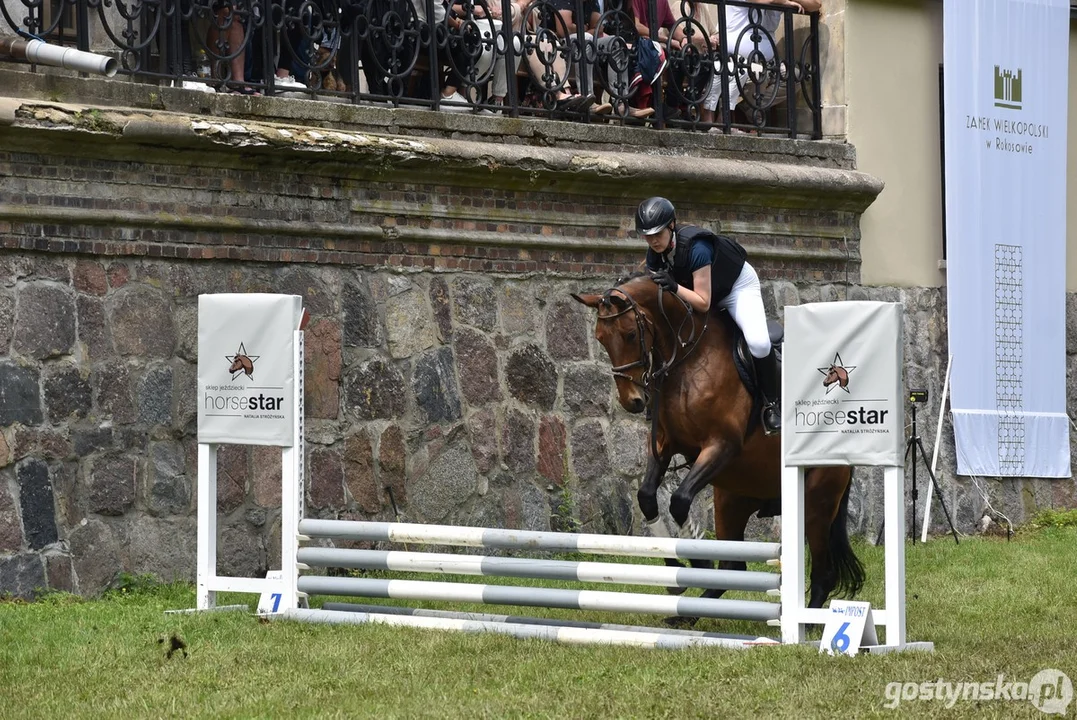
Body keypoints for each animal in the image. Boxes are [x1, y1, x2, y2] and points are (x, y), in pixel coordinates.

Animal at [572, 275, 865, 611]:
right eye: (600, 339)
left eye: (631, 334)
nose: (632, 401)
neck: (688, 359)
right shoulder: (664, 443)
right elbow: (646, 497)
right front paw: (674, 570)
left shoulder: (721, 446)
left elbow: (679, 500)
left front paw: (697, 554)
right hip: (732, 498)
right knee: (732, 568)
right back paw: (684, 615)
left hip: (816, 503)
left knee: (822, 574)